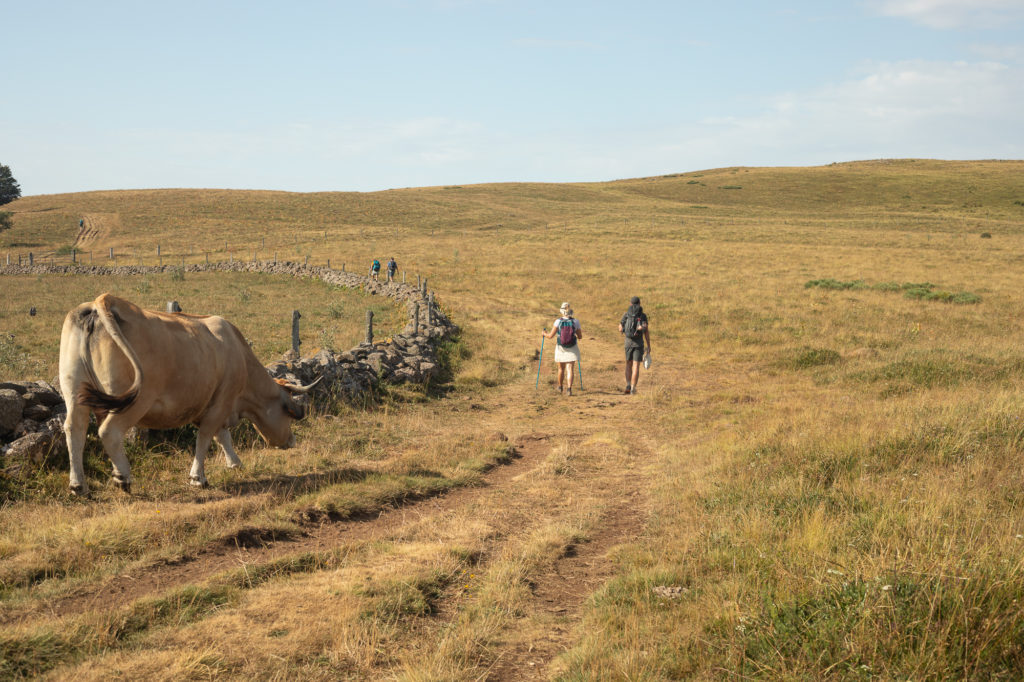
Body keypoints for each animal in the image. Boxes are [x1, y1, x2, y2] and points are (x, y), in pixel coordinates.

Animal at [58, 292, 313, 493]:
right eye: (288, 414)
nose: (292, 440)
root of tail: (102, 302)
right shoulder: (221, 402)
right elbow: (206, 438)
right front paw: (198, 477)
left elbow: (222, 437)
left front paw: (235, 463)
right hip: (136, 401)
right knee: (109, 432)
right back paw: (123, 477)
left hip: (75, 392)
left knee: (75, 430)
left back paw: (79, 485)